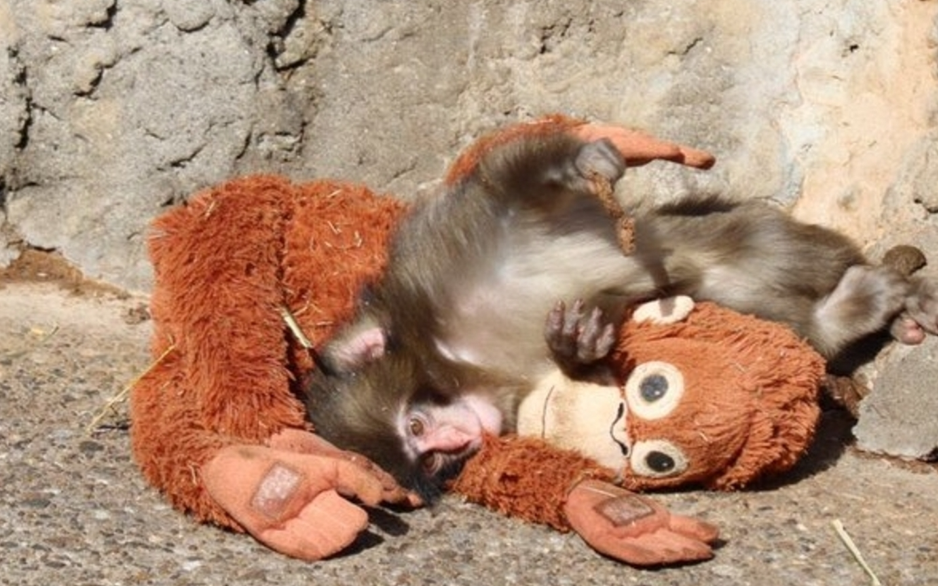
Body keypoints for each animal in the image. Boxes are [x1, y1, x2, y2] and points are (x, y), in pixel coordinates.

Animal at [304, 130, 938, 502]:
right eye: (430, 458)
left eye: (415, 427)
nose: (461, 439)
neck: (465, 355)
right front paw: (578, 343)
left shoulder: (446, 259)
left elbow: (510, 185)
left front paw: (582, 158)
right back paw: (848, 313)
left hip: (754, 236)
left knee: (765, 248)